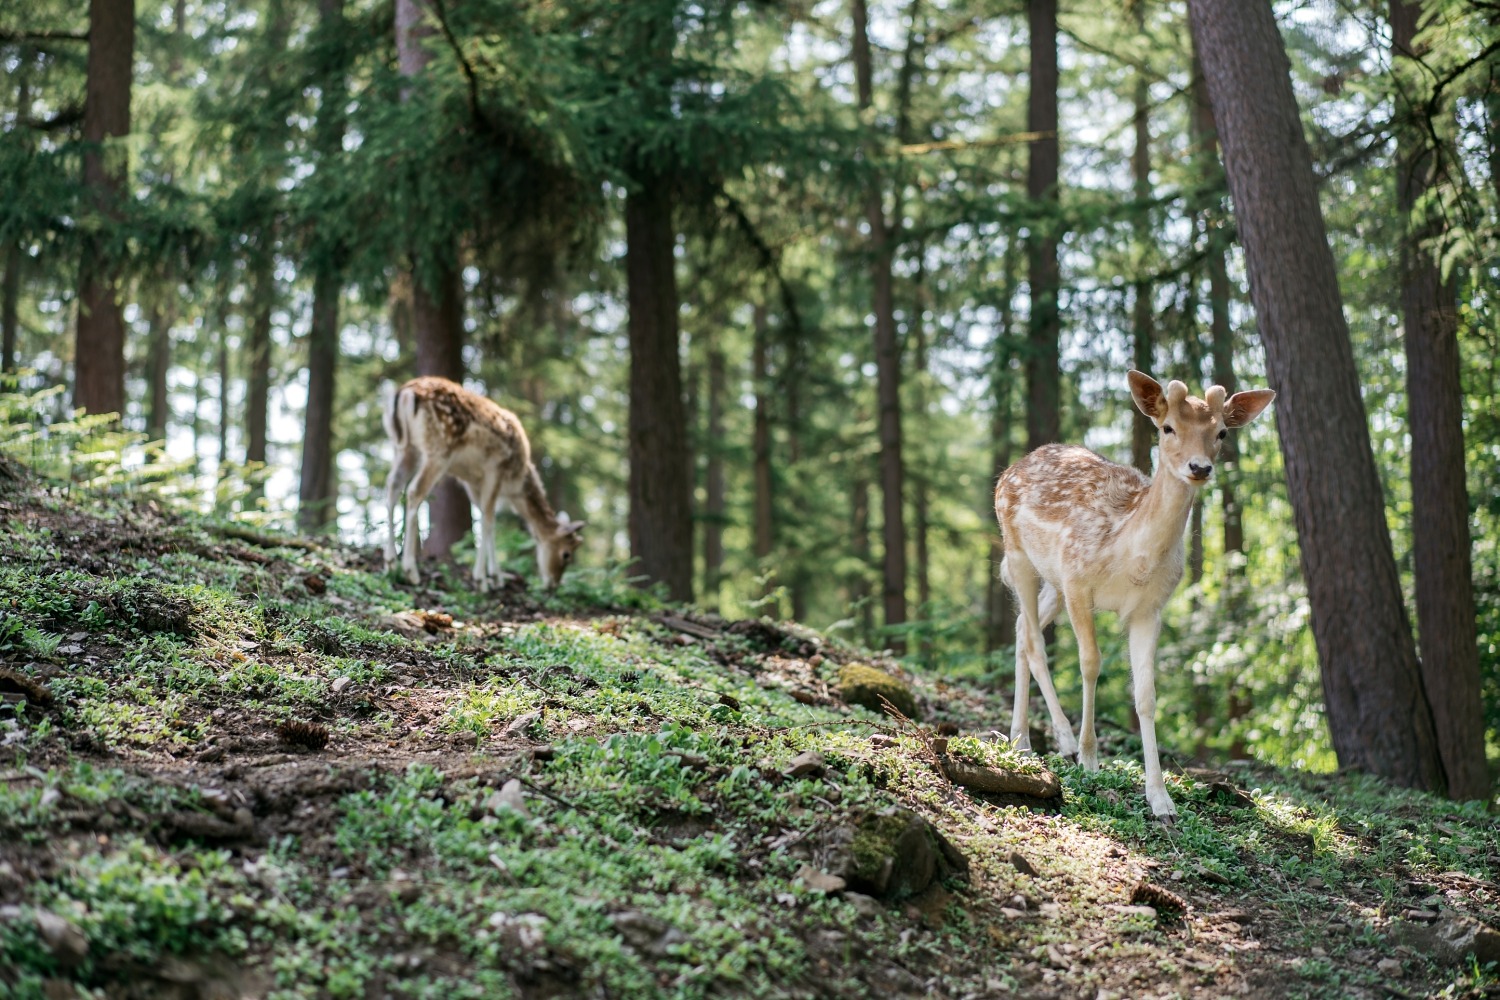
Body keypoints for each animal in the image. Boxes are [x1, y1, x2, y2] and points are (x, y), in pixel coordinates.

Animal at [381, 379, 585, 590]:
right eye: (566, 554)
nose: (554, 583)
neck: (516, 483)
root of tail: (406, 393)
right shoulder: (495, 471)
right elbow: (487, 519)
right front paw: (482, 580)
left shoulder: (471, 481)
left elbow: (488, 520)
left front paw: (497, 577)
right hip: (439, 450)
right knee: (414, 491)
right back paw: (410, 570)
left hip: (404, 447)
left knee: (392, 487)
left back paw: (390, 563)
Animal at [996, 371, 1278, 815]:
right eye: (1167, 428)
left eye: (1221, 432)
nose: (1199, 467)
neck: (1130, 555)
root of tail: (1010, 469)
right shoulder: (1078, 582)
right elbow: (1090, 665)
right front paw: (1089, 758)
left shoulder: (1150, 607)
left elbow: (1146, 694)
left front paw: (1160, 798)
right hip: (1019, 554)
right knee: (1034, 642)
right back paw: (1050, 740)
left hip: (1053, 583)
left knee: (1024, 627)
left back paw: (1022, 738)